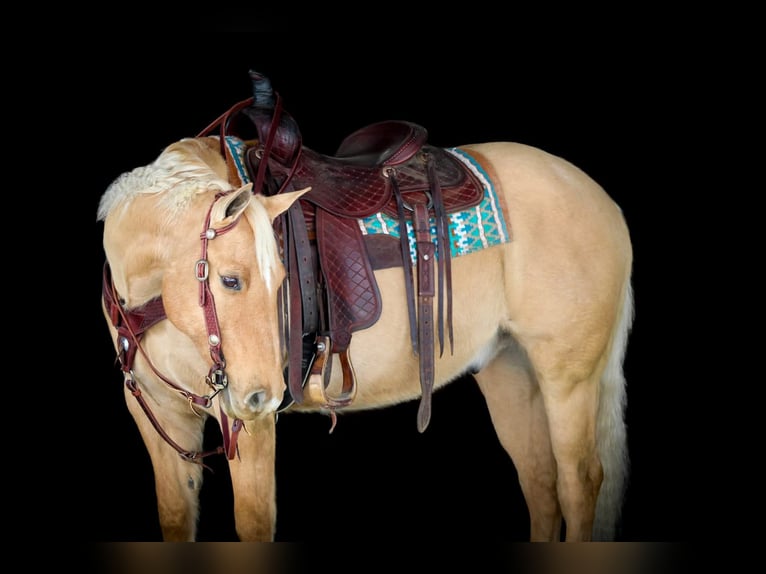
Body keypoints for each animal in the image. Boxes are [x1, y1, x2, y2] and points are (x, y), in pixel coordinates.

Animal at [97, 71, 633, 542]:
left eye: (279, 283)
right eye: (230, 281)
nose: (263, 397)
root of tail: (601, 199)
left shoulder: (249, 426)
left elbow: (253, 525)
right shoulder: (158, 414)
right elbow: (175, 519)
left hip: (567, 378)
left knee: (580, 481)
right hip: (510, 370)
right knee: (541, 482)